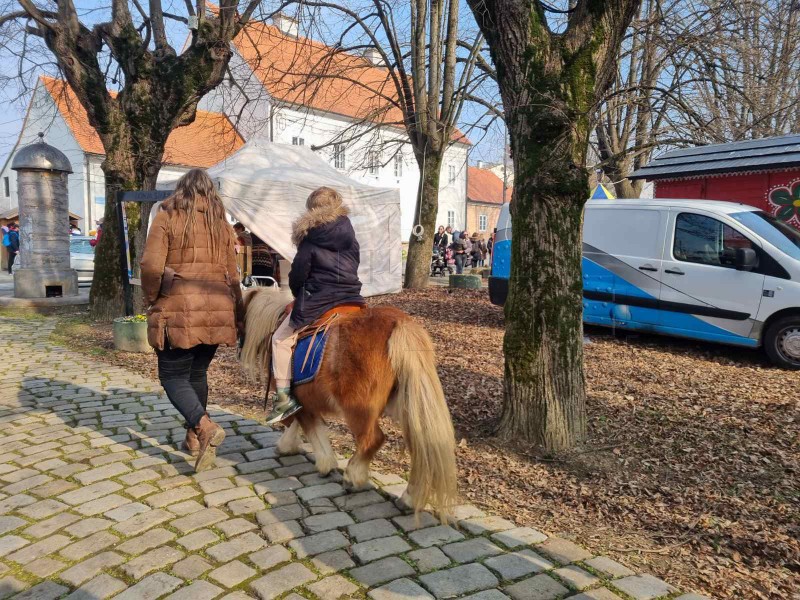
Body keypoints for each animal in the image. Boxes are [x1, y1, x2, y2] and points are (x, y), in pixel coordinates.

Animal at [239, 286, 456, 516]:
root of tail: (400, 324)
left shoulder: (302, 404)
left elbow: (309, 428)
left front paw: (324, 463)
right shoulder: (304, 404)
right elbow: (300, 425)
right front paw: (287, 446)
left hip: (358, 409)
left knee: (372, 440)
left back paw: (354, 476)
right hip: (409, 408)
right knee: (421, 449)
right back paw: (409, 499)